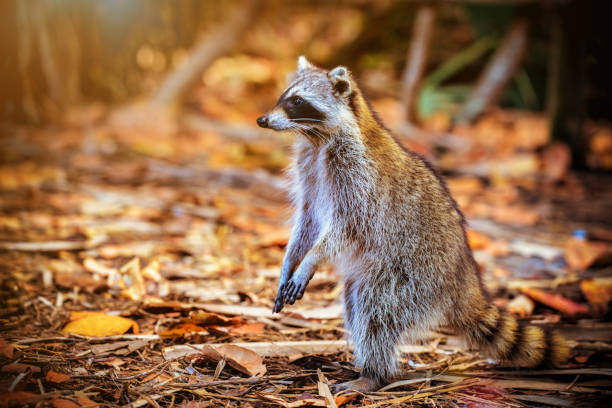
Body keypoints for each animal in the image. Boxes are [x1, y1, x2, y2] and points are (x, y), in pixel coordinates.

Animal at [256, 55, 572, 390]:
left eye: (297, 102)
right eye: (284, 96)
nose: (262, 120)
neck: (317, 138)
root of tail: (463, 273)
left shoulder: (357, 175)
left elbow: (347, 225)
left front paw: (311, 259)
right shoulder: (310, 168)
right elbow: (308, 219)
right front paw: (291, 260)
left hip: (412, 271)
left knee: (375, 307)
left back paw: (373, 374)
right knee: (356, 299)